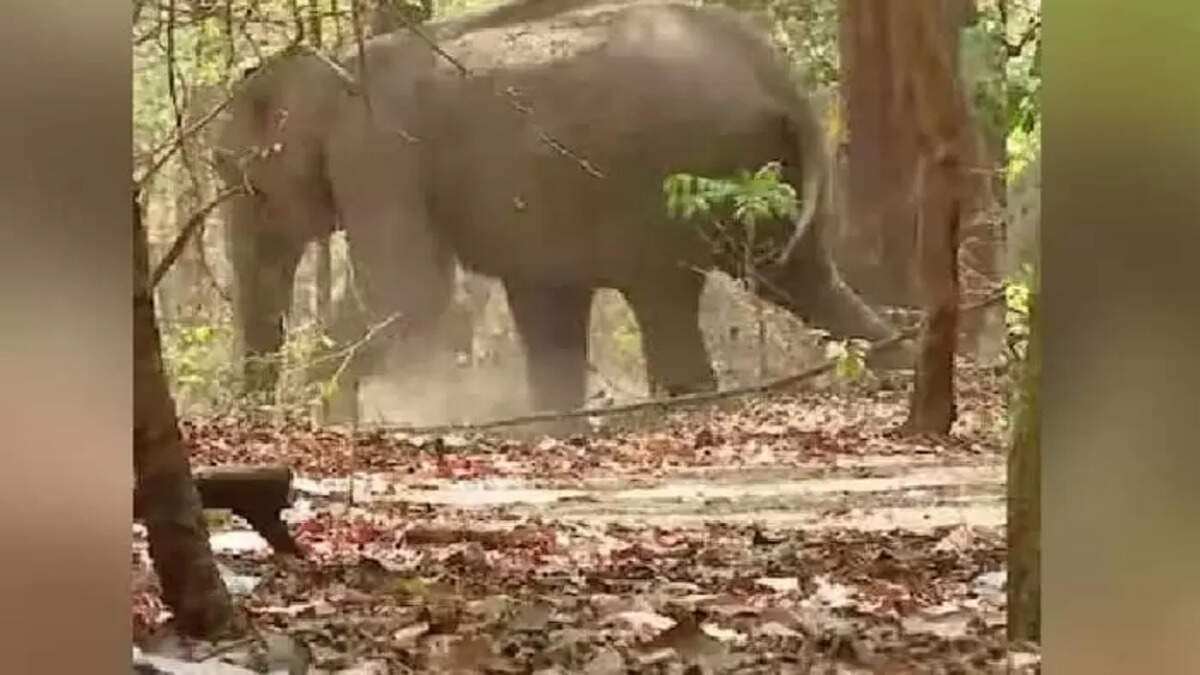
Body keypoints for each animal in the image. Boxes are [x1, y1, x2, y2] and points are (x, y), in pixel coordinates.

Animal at [214, 0, 909, 417]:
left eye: (246, 186)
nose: (252, 415)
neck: (331, 69)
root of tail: (778, 80)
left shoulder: (378, 153)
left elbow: (411, 297)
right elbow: (542, 299)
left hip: (672, 172)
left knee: (667, 293)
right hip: (760, 173)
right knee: (799, 276)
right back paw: (899, 368)